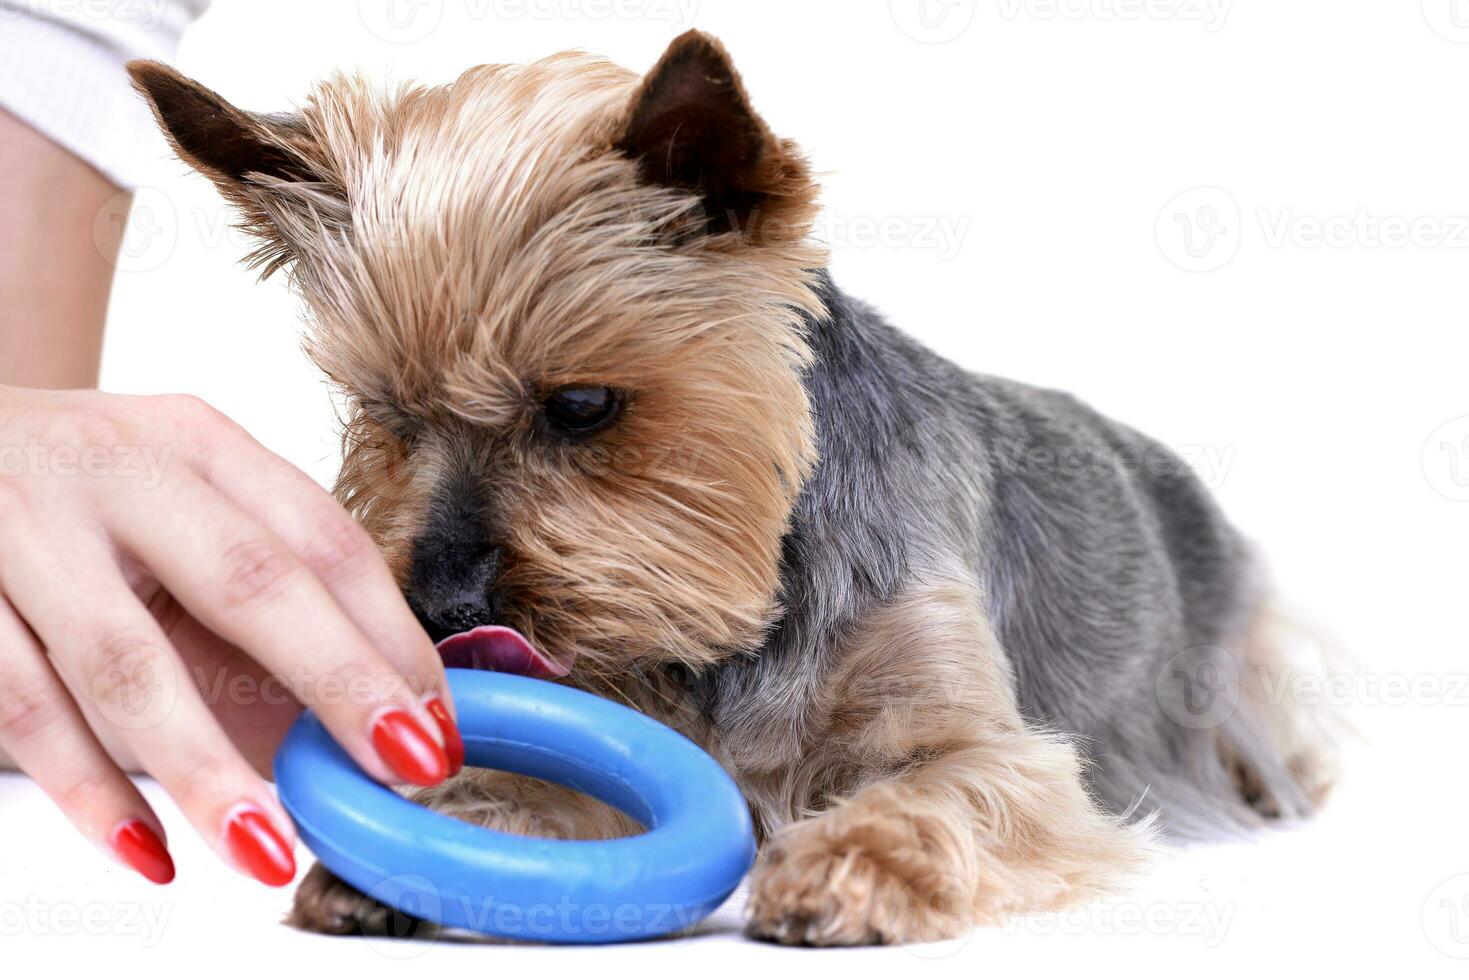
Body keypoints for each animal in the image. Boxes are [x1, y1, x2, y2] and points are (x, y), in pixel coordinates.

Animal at [129, 30, 1333, 946]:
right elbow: (541, 789)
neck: (738, 613)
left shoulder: (998, 747)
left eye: (581, 405)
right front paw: (413, 840)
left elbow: (940, 787)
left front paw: (848, 863)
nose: (440, 610)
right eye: (384, 413)